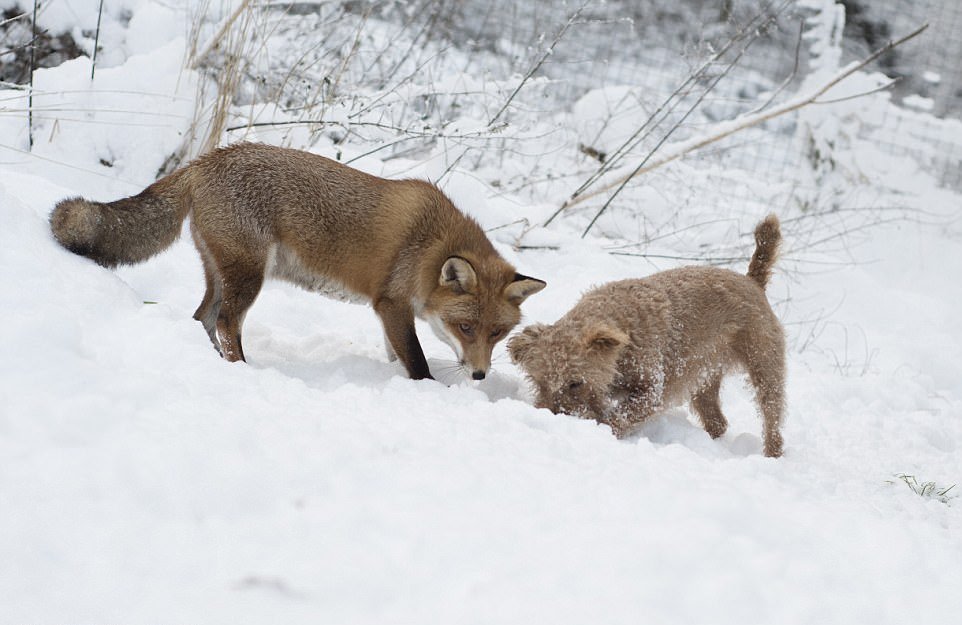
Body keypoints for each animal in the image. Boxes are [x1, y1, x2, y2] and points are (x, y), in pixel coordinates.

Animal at [52, 142, 544, 380]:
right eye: (466, 328)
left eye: (497, 333)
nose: (479, 375)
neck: (432, 246)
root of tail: (208, 159)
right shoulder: (391, 304)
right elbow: (419, 362)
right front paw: (426, 389)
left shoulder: (390, 311)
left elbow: (397, 355)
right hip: (250, 274)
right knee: (227, 323)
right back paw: (242, 370)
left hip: (223, 272)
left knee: (202, 317)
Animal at [506, 217, 784, 456]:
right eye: (539, 381)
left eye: (576, 383)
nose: (549, 414)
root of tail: (752, 281)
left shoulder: (651, 391)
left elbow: (618, 417)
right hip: (703, 377)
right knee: (718, 422)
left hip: (765, 367)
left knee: (772, 418)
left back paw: (771, 453)